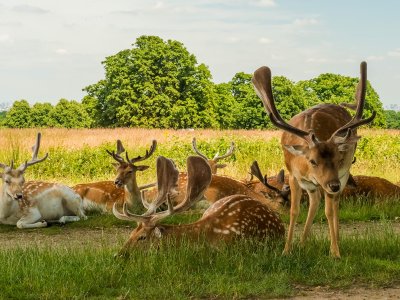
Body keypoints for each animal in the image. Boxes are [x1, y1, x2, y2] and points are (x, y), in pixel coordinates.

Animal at [252, 61, 376, 258]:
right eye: (312, 160)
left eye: (338, 158)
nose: (334, 185)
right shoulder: (293, 176)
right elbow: (294, 211)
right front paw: (287, 250)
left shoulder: (334, 176)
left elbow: (329, 212)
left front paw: (335, 252)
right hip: (315, 185)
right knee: (315, 200)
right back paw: (303, 243)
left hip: (343, 175)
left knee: (334, 204)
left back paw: (336, 241)